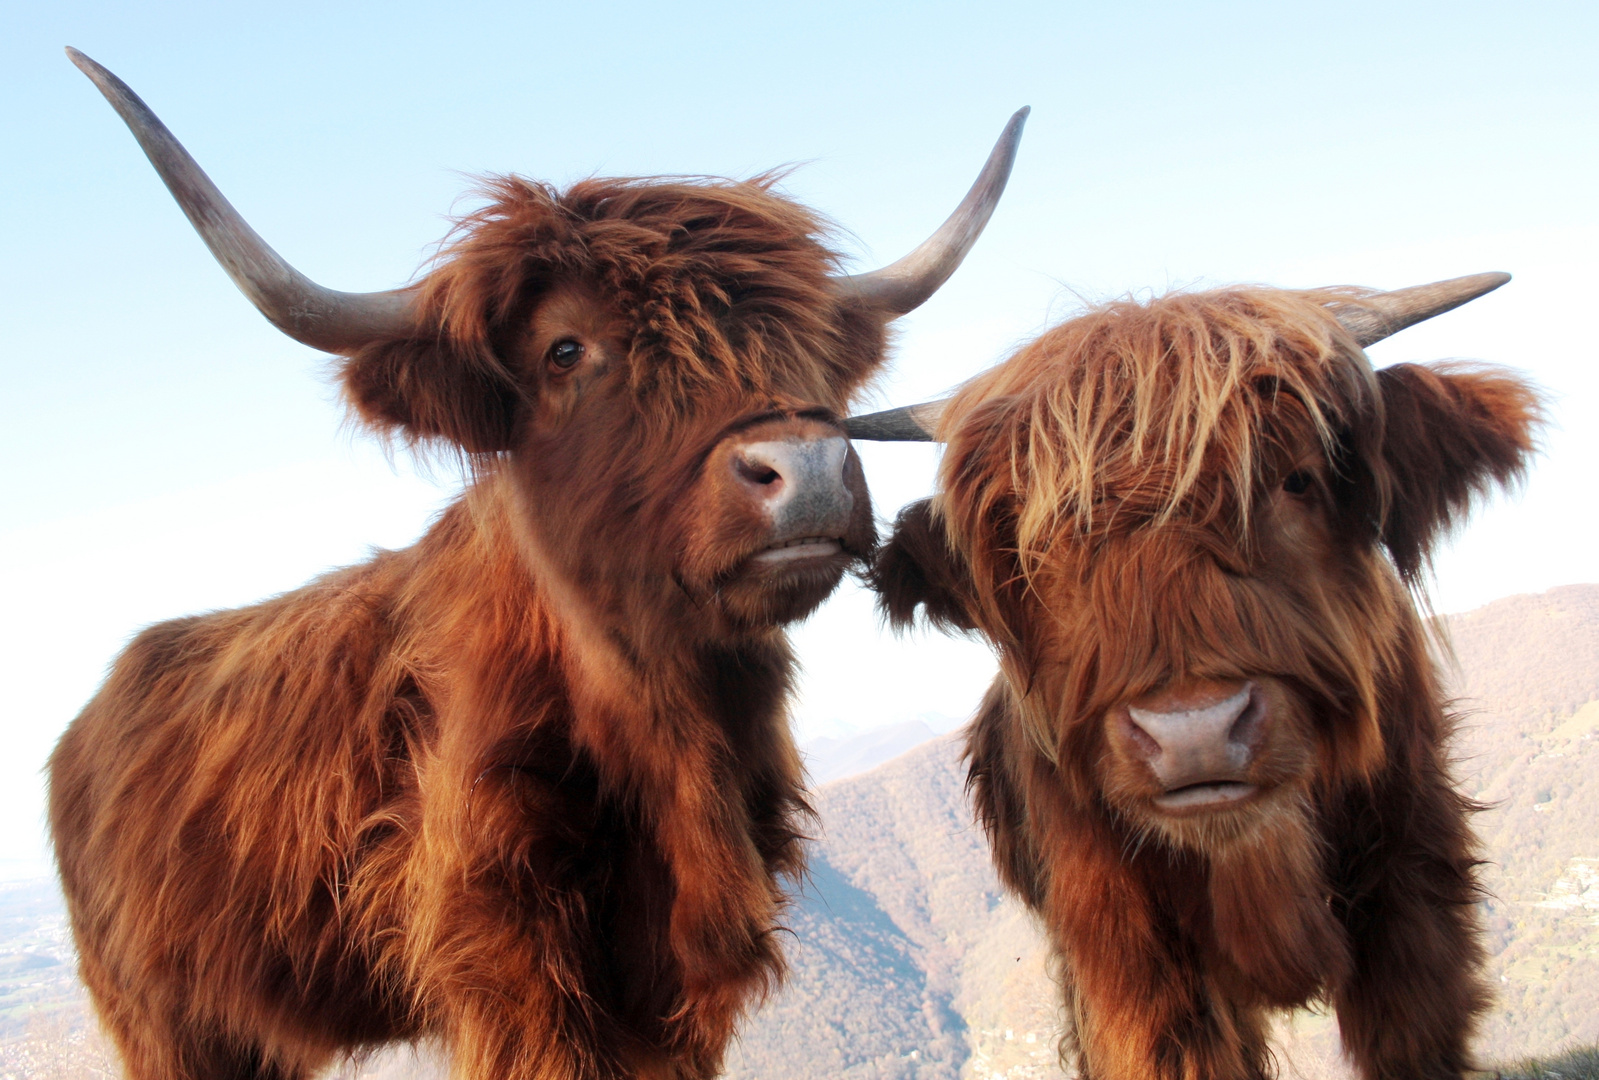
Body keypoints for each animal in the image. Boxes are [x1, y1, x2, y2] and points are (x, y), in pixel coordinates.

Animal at [49, 48, 1029, 1080]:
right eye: (565, 350)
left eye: (809, 345)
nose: (803, 472)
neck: (665, 729)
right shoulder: (507, 954)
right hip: (169, 1024)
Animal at [857, 276, 1541, 1080]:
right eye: (1030, 544)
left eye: (1297, 479)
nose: (1194, 733)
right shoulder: (1125, 959)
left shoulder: (1412, 888)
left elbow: (1413, 1037)